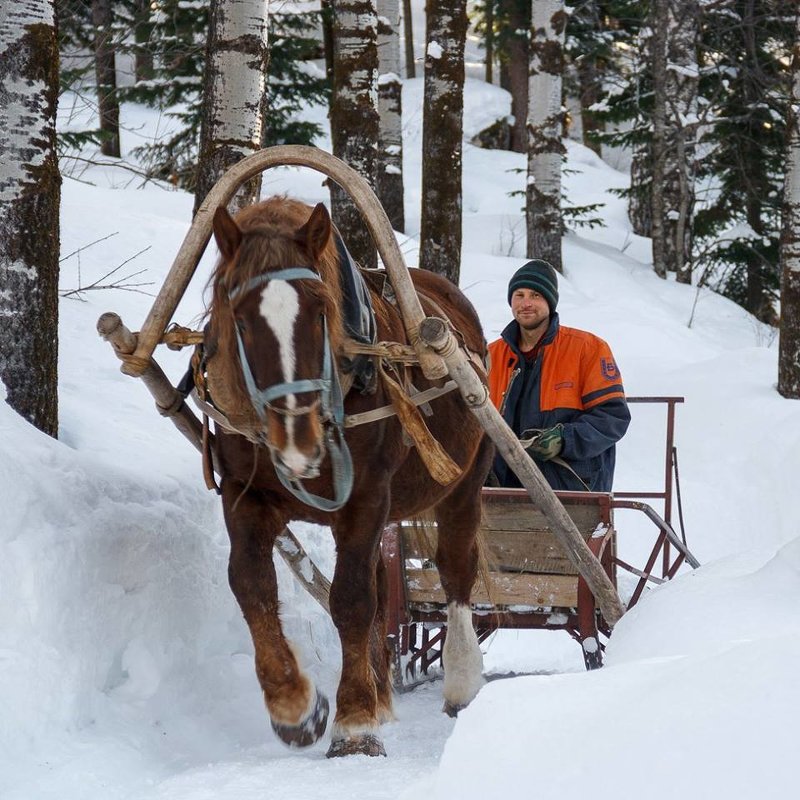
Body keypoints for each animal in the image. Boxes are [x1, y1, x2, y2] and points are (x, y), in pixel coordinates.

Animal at [202, 194, 494, 756]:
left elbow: (353, 599)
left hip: (466, 479)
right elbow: (250, 584)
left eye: (321, 312)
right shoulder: (245, 496)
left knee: (455, 567)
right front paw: (295, 706)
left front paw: (355, 722)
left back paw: (461, 680)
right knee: (386, 586)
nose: (299, 444)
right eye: (240, 320)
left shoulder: (365, 498)